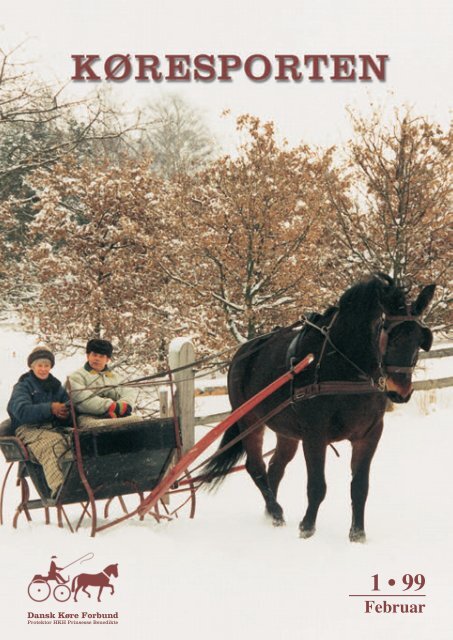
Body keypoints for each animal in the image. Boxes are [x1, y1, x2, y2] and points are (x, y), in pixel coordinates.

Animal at [202, 272, 434, 544]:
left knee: (275, 468)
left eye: (420, 339)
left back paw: (271, 514)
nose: (400, 391)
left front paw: (357, 534)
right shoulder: (315, 435)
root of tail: (245, 351)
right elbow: (317, 486)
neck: (345, 368)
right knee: (256, 468)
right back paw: (276, 512)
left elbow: (360, 487)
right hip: (249, 420)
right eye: (390, 336)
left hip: (286, 431)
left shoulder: (369, 434)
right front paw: (307, 527)